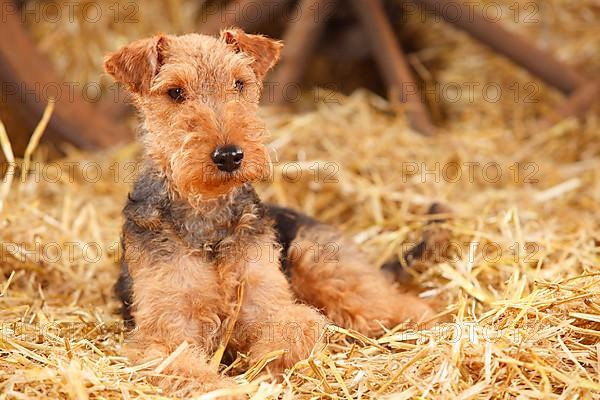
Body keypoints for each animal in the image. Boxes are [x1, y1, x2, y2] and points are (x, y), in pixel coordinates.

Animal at [103, 28, 440, 396]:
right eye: (175, 92)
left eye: (239, 83)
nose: (229, 156)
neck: (208, 218)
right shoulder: (165, 335)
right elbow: (193, 373)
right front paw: (234, 388)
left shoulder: (268, 305)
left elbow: (292, 333)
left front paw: (266, 374)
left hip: (320, 262)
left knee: (397, 304)